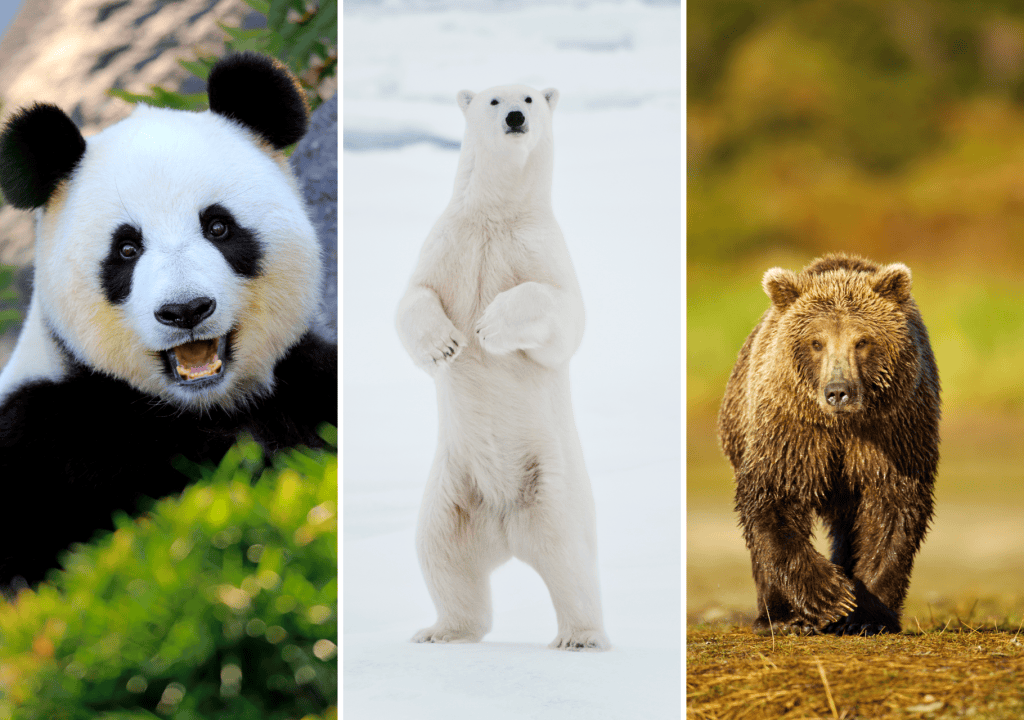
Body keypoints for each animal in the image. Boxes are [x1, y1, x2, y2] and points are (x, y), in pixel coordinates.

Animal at [395, 84, 609, 650]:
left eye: (530, 97)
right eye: (494, 100)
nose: (515, 116)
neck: (495, 217)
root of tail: (506, 531)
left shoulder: (541, 250)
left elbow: (561, 314)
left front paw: (490, 327)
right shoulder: (447, 243)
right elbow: (412, 300)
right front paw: (445, 345)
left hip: (552, 487)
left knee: (570, 561)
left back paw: (581, 636)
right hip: (452, 493)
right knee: (441, 555)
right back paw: (442, 630)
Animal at [718, 253, 940, 635]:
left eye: (862, 341)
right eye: (816, 342)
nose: (838, 391)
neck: (843, 425)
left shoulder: (894, 431)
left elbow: (893, 507)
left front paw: (867, 613)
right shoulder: (793, 431)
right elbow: (774, 497)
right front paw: (830, 596)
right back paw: (778, 615)